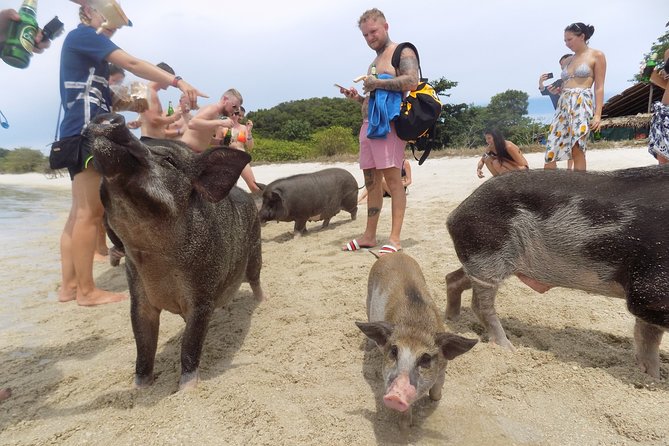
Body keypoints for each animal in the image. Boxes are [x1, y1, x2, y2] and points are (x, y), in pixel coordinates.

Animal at [86, 113, 266, 388]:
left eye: (169, 161)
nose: (111, 118)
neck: (154, 254)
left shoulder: (202, 295)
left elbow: (190, 345)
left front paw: (187, 388)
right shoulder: (138, 293)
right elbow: (143, 344)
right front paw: (141, 387)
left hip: (256, 251)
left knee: (255, 281)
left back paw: (261, 302)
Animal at [354, 253, 474, 430]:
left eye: (425, 358)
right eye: (394, 351)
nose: (395, 396)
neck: (415, 327)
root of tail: (392, 254)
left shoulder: (443, 367)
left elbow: (436, 390)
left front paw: (436, 399)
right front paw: (405, 426)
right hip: (368, 300)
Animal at [444, 166, 668, 378]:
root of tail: (455, 214)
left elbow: (647, 340)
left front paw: (652, 377)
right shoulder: (648, 292)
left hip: (481, 260)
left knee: (453, 278)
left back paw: (451, 320)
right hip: (486, 254)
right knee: (481, 305)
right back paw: (509, 349)